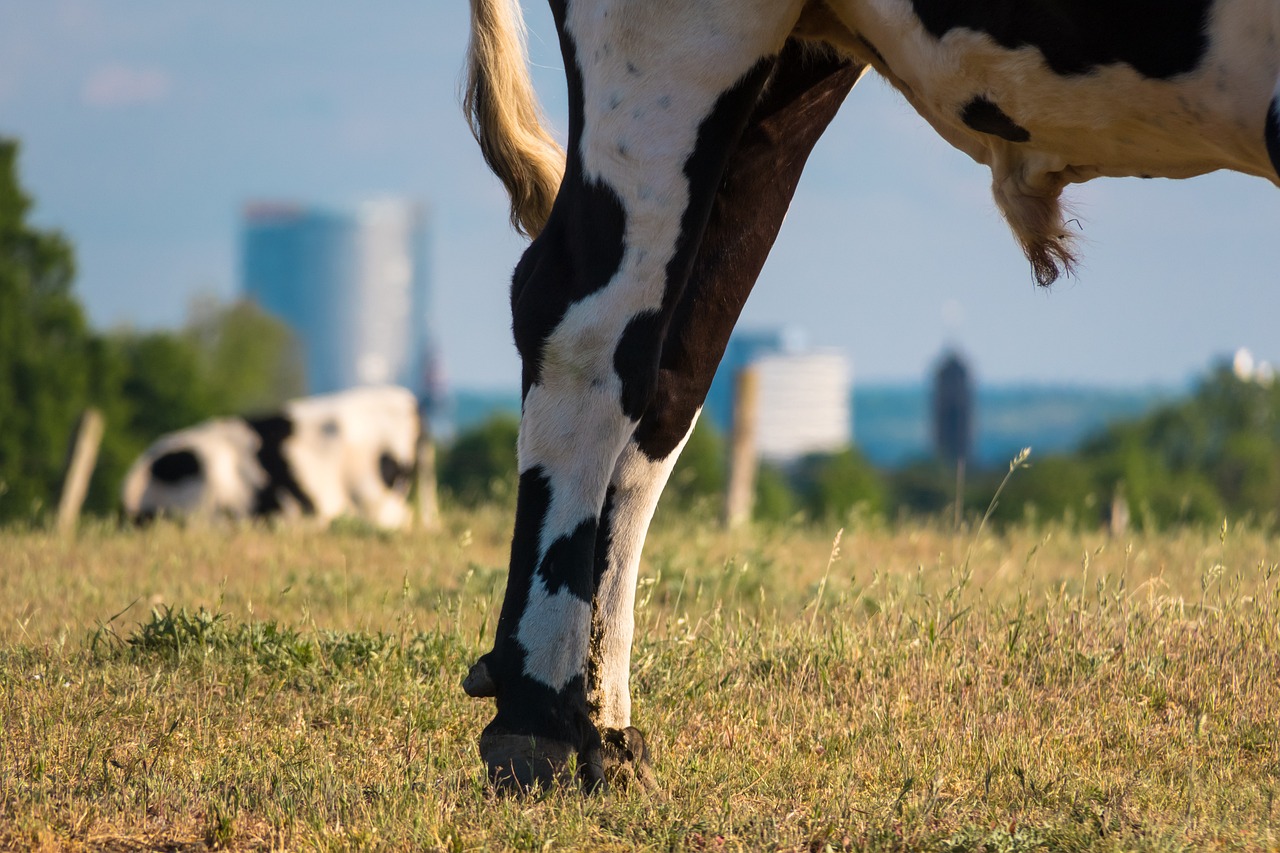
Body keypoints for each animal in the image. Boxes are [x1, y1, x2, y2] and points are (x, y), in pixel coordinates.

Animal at [460, 0, 1280, 788]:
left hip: (778, 81)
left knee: (672, 365)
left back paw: (605, 724)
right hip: (673, 45)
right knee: (581, 317)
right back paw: (543, 722)